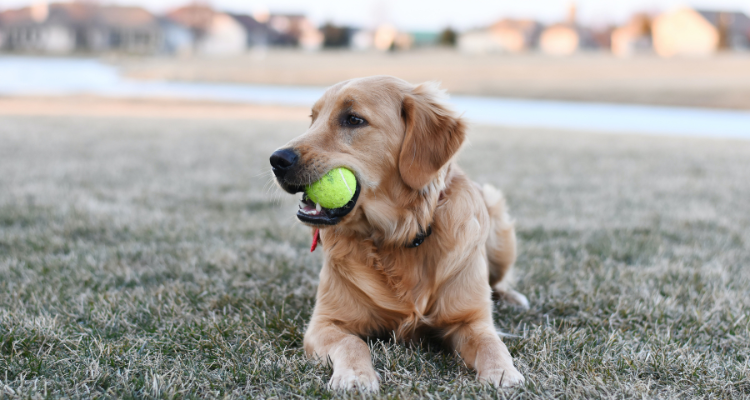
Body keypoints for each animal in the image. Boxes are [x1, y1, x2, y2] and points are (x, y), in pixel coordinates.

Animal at [270, 76, 528, 390]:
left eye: (353, 119)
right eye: (313, 118)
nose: (276, 160)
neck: (397, 237)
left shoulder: (471, 319)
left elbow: (491, 343)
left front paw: (503, 373)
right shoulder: (325, 323)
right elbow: (352, 343)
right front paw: (356, 375)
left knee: (499, 280)